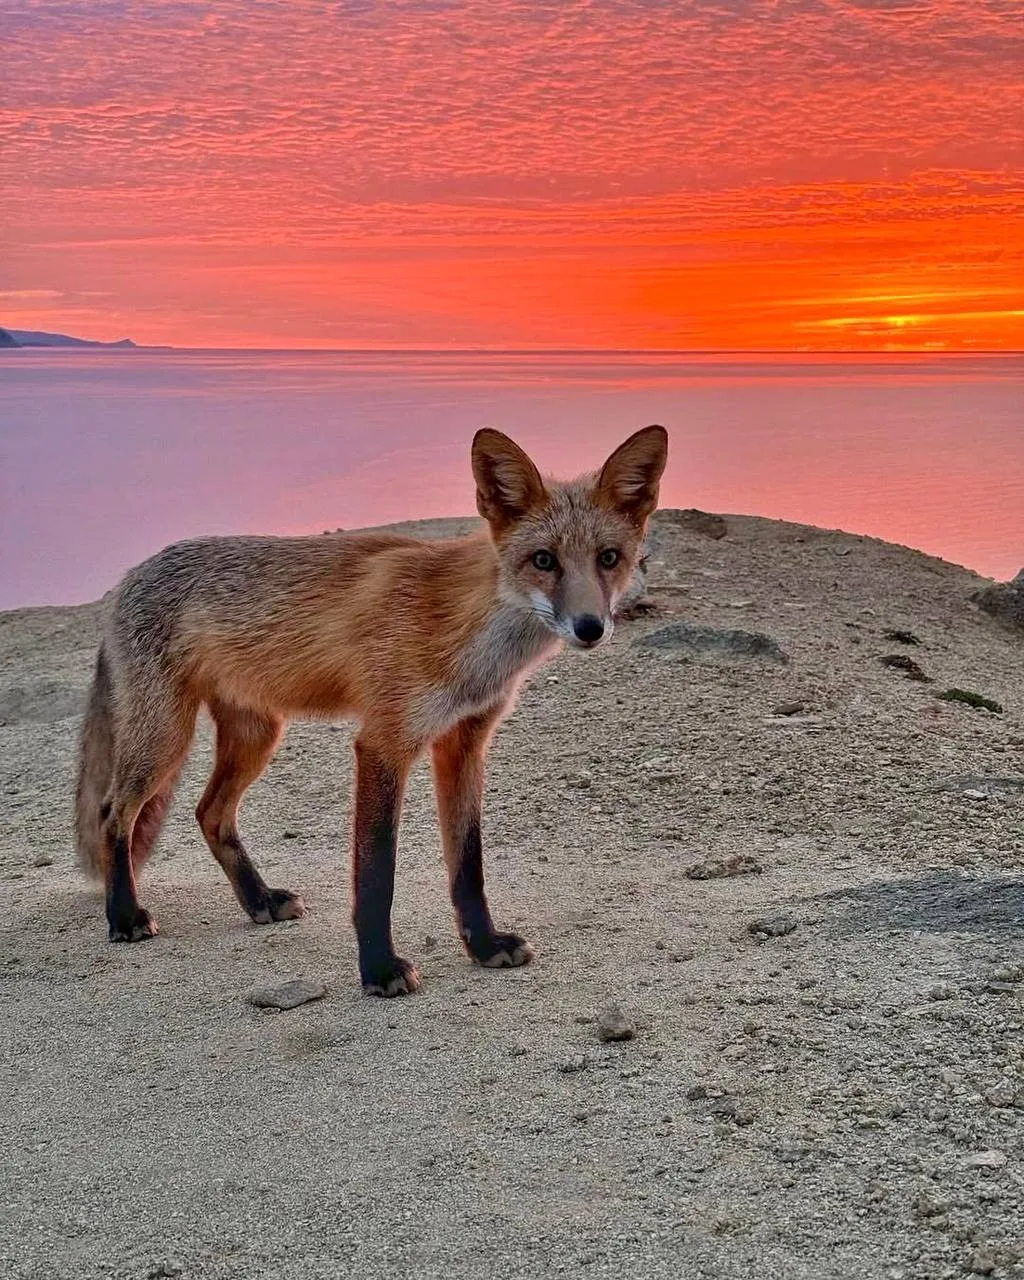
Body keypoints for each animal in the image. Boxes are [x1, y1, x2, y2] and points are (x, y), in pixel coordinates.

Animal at [75, 424, 668, 995]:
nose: (590, 627)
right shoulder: (384, 741)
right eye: (544, 560)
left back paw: (259, 900)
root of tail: (126, 578)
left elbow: (468, 865)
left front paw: (483, 945)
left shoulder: (464, 742)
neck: (465, 631)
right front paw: (379, 969)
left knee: (209, 813)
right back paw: (124, 915)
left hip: (257, 735)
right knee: (112, 814)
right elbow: (378, 874)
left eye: (609, 559)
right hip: (165, 738)